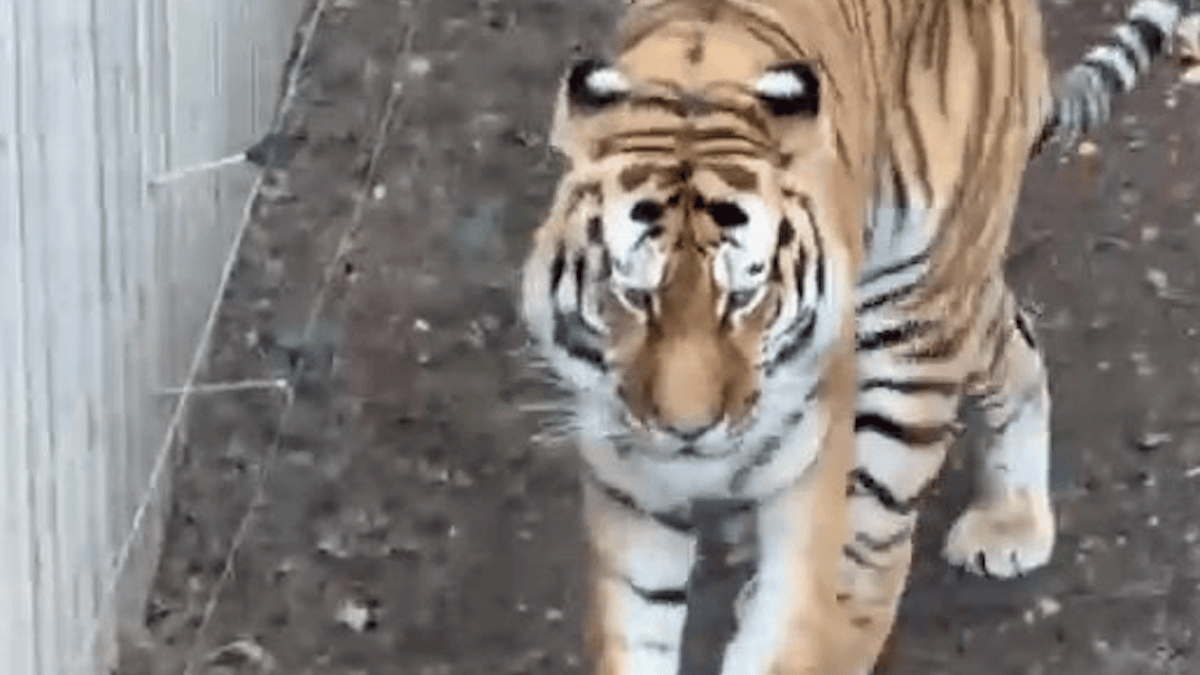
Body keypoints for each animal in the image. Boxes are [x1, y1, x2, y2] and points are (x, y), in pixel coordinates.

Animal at [518, 0, 1197, 673]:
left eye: (744, 296)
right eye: (634, 294)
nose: (689, 431)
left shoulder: (809, 467)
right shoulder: (630, 485)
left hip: (918, 316)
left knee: (873, 545)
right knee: (1017, 336)